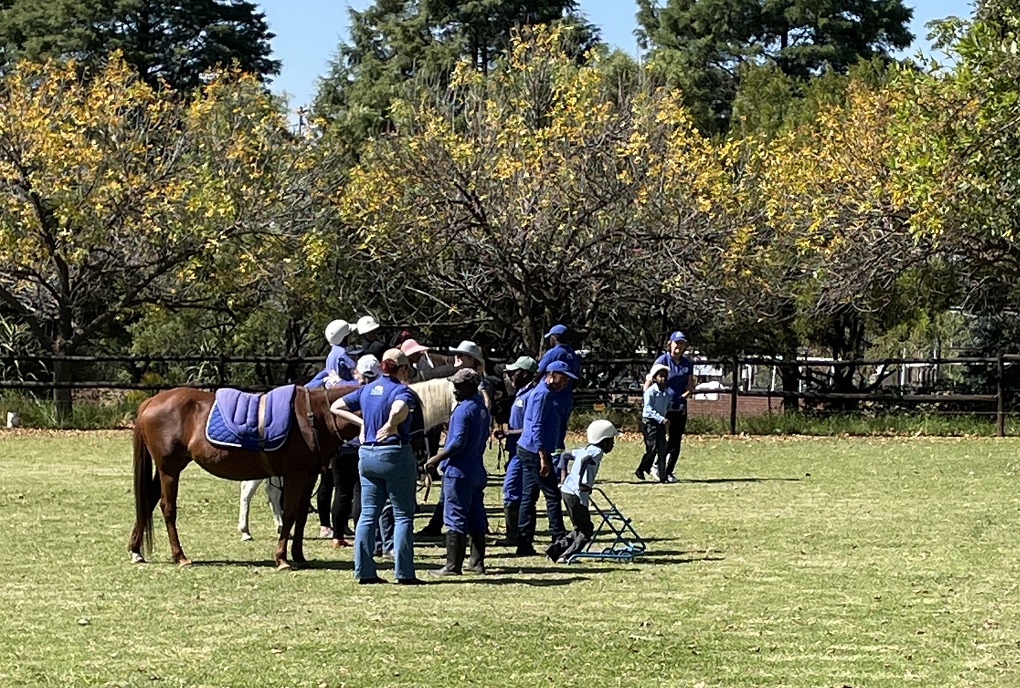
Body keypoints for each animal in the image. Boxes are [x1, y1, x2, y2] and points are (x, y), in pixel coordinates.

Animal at [129, 381, 357, 570]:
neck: (315, 416)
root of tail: (150, 401)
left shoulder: (309, 475)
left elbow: (300, 516)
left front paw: (299, 556)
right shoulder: (295, 474)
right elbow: (290, 513)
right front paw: (282, 558)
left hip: (167, 469)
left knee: (147, 501)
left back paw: (135, 550)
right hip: (169, 470)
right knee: (167, 507)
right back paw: (180, 556)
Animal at [235, 377, 454, 542]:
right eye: (412, 412)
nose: (421, 452)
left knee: (271, 492)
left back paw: (281, 526)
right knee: (247, 490)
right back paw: (246, 531)